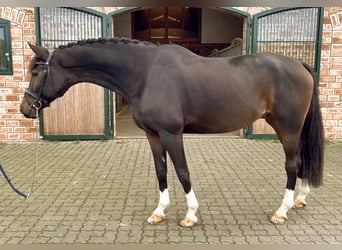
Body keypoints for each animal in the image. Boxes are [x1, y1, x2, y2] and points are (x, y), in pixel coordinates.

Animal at [20, 38, 324, 228]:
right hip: (280, 126)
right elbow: (161, 171)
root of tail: (299, 65)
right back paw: (300, 199)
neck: (145, 73)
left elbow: (182, 171)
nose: (25, 108)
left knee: (292, 164)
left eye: (36, 71)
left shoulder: (171, 133)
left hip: (289, 127)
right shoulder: (153, 135)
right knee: (300, 161)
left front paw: (190, 215)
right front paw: (159, 212)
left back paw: (281, 211)